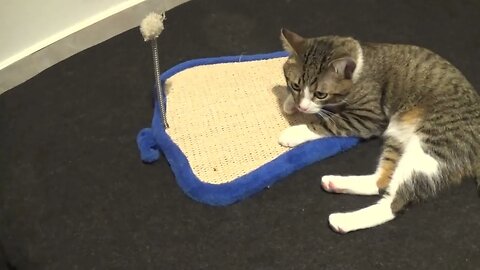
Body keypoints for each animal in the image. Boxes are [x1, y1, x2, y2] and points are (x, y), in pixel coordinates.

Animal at [280, 28, 478, 233]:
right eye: (295, 85)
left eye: (320, 94)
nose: (302, 107)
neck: (361, 62)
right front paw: (290, 103)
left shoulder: (369, 117)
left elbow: (329, 122)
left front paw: (294, 132)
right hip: (398, 138)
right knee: (381, 182)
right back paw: (336, 183)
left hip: (431, 148)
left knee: (395, 203)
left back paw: (343, 220)